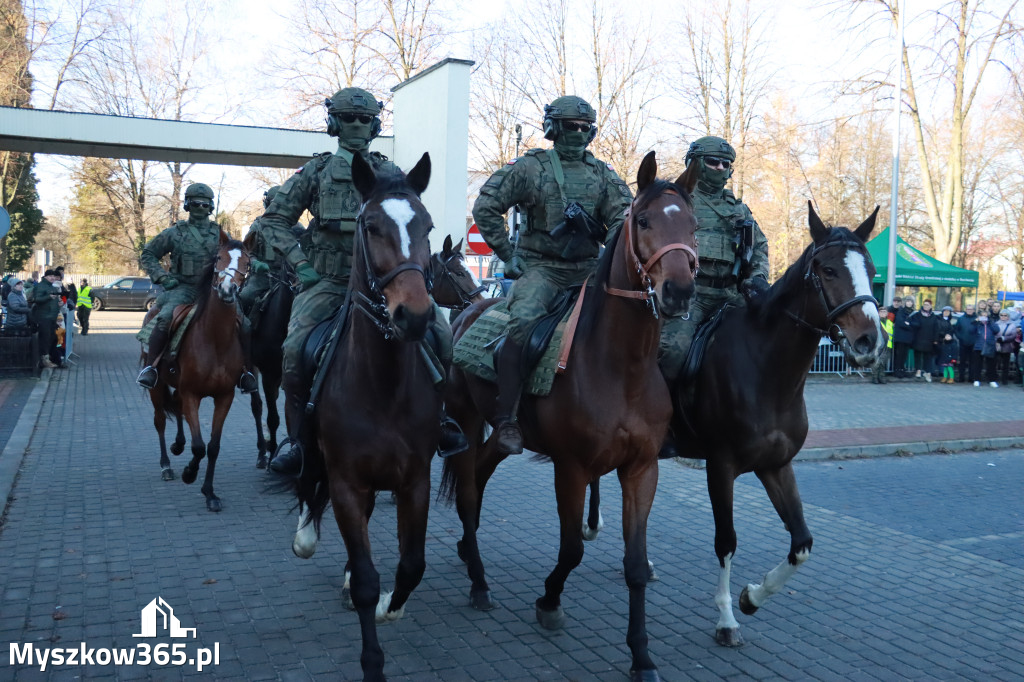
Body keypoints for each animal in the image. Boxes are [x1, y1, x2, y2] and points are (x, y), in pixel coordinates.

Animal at [147, 231, 250, 507]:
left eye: (247, 262)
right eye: (218, 257)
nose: (227, 290)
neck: (215, 339)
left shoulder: (224, 396)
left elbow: (212, 446)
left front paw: (209, 492)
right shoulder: (193, 393)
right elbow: (199, 446)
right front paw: (189, 473)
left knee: (177, 410)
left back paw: (177, 445)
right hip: (157, 387)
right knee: (160, 420)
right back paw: (166, 464)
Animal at [290, 152, 442, 679]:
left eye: (427, 225)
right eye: (371, 226)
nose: (414, 315)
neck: (383, 386)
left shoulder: (414, 479)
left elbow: (411, 565)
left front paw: (390, 609)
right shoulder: (345, 483)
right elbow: (366, 580)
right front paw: (372, 661)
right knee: (306, 485)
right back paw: (305, 535)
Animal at [444, 152, 700, 679]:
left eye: (693, 224)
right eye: (644, 220)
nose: (680, 291)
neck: (620, 368)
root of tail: (467, 311)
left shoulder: (641, 469)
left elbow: (635, 564)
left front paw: (641, 655)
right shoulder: (573, 468)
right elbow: (572, 548)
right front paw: (549, 600)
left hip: (501, 434)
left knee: (479, 477)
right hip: (465, 421)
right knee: (467, 495)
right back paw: (479, 582)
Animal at [667, 200, 884, 643]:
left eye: (871, 270)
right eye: (828, 270)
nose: (870, 342)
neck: (767, 372)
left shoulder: (776, 465)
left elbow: (802, 543)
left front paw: (752, 596)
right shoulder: (720, 466)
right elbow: (726, 540)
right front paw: (726, 617)